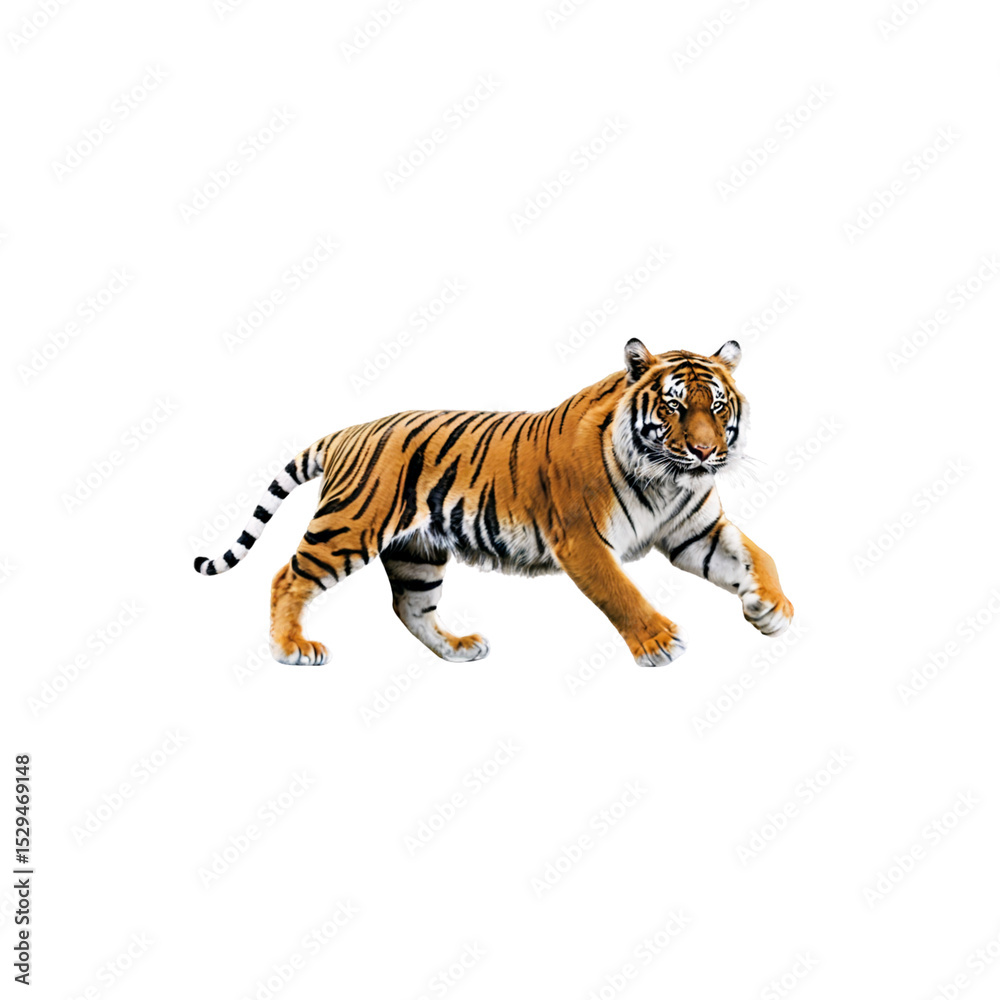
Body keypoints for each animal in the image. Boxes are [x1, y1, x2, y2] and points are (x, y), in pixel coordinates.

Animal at [193, 339, 793, 667]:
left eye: (717, 406)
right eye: (673, 407)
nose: (706, 451)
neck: (667, 480)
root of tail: (351, 431)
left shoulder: (695, 530)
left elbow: (758, 556)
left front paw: (772, 609)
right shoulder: (581, 539)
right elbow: (620, 591)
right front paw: (659, 642)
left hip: (417, 553)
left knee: (410, 607)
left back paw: (457, 648)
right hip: (349, 528)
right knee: (287, 577)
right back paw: (291, 648)